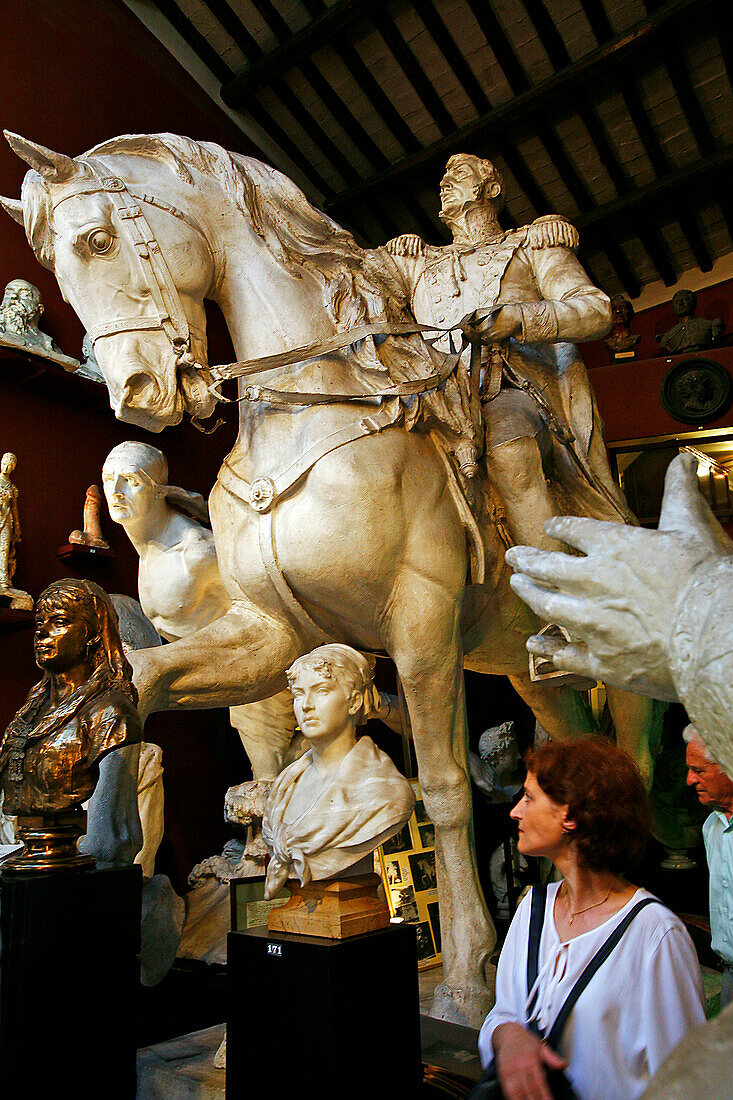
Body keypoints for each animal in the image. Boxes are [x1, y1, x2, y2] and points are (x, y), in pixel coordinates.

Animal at [0, 133, 651, 1025]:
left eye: (98, 241)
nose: (137, 395)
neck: (311, 415)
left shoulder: (420, 624)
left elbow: (442, 787)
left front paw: (464, 975)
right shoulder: (273, 636)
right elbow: (164, 683)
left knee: (634, 756)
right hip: (528, 673)